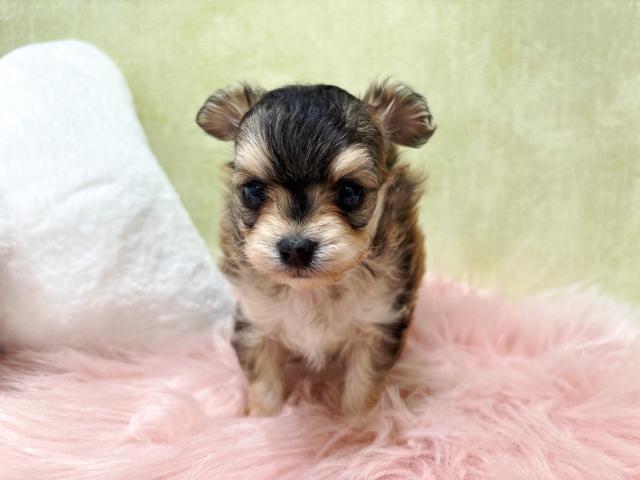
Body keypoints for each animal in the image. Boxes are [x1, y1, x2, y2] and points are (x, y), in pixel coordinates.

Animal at [196, 80, 434, 417]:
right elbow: (263, 383)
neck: (314, 291)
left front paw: (358, 426)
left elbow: (362, 388)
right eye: (253, 190)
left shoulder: (376, 325)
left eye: (351, 191)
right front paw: (260, 420)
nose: (295, 248)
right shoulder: (257, 321)